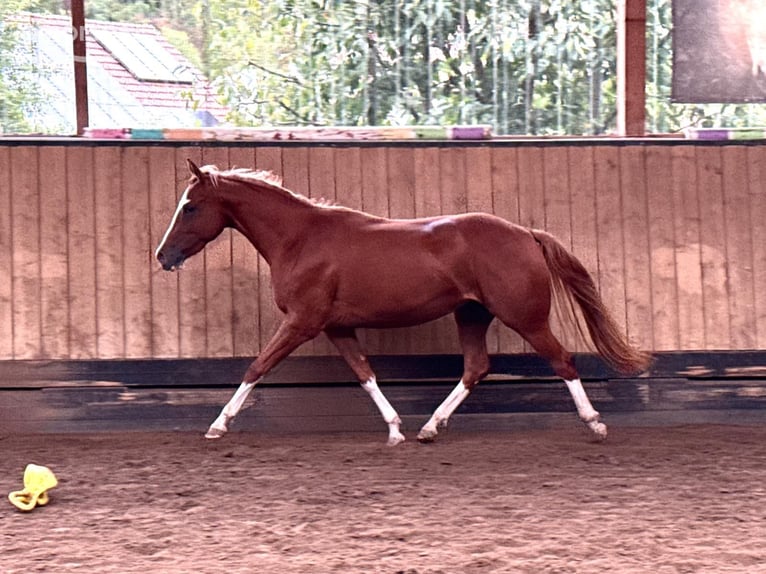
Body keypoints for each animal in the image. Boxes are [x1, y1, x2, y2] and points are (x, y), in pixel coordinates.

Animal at [155, 159, 651, 445]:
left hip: (524, 318)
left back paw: (595, 423)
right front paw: (395, 429)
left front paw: (218, 425)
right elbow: (365, 374)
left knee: (563, 360)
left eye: (191, 207)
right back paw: (430, 427)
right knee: (476, 367)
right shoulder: (337, 327)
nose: (162, 256)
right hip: (472, 314)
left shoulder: (302, 322)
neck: (300, 239)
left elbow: (256, 367)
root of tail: (526, 234)